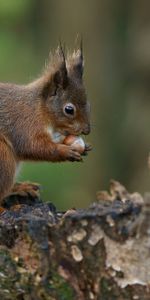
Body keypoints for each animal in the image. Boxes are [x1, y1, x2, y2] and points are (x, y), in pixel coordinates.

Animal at [0, 45, 91, 204]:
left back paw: (21, 187)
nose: (87, 130)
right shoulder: (25, 124)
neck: (40, 108)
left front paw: (84, 148)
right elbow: (33, 146)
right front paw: (64, 151)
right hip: (3, 157)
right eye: (69, 109)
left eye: (88, 104)